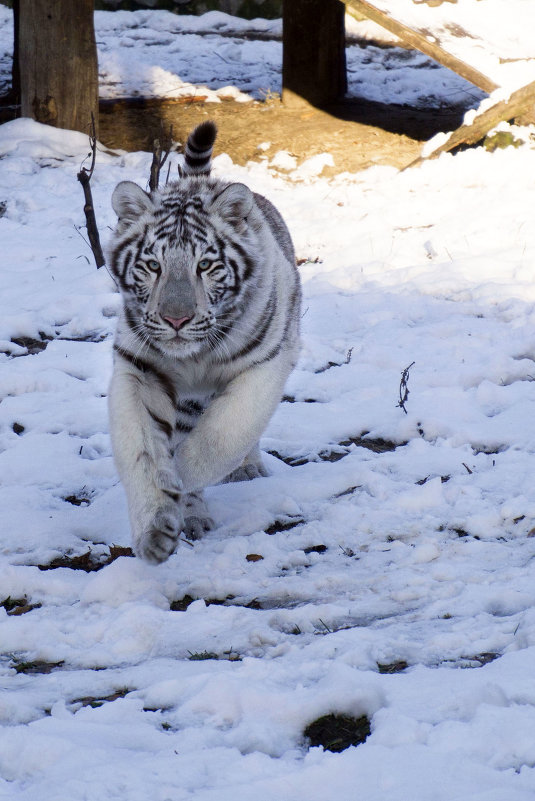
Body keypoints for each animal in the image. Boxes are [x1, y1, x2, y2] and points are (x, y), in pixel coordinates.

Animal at [109, 123, 302, 564]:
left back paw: (245, 470)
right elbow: (141, 449)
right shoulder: (139, 369)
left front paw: (178, 478)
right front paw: (156, 524)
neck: (194, 356)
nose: (176, 320)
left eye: (206, 265)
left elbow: (221, 437)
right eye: (153, 265)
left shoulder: (264, 366)